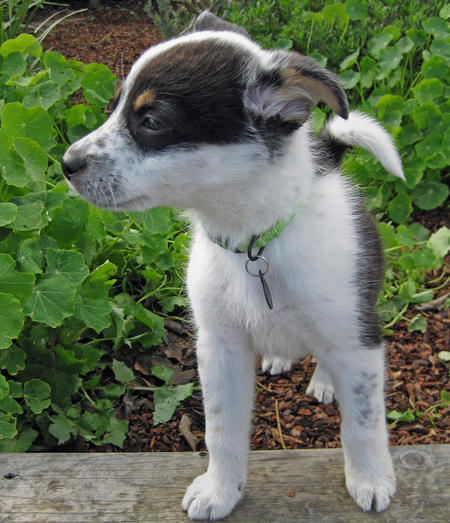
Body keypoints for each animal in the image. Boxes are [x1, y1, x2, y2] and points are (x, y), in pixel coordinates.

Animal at [61, 10, 402, 520]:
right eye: (113, 105)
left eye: (152, 121)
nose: (66, 163)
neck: (253, 244)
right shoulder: (218, 346)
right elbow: (220, 430)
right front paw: (221, 491)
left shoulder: (358, 341)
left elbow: (363, 423)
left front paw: (371, 480)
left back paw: (324, 381)